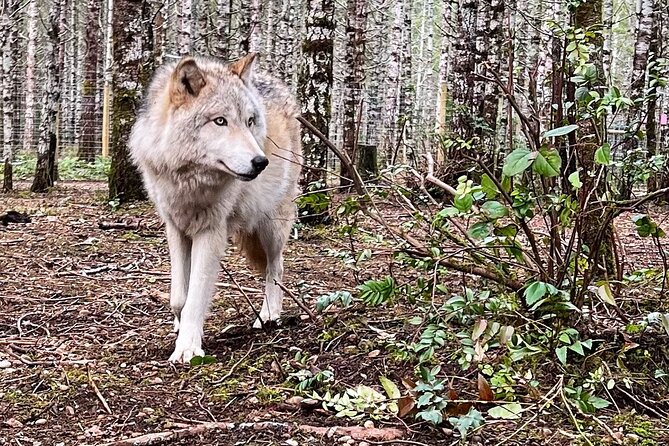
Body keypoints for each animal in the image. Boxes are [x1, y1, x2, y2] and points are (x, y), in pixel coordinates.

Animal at [129, 54, 302, 363]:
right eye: (220, 121)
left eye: (249, 121)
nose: (261, 162)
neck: (190, 181)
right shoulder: (175, 227)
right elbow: (179, 297)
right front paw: (179, 326)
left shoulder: (211, 232)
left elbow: (196, 296)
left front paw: (187, 348)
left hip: (271, 226)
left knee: (276, 267)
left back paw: (269, 315)